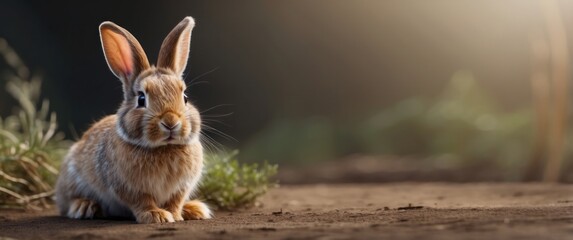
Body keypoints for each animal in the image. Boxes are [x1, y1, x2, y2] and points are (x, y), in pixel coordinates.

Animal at [54, 16, 212, 223]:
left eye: (184, 97)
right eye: (141, 99)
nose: (170, 122)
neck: (163, 148)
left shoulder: (181, 188)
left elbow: (175, 201)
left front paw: (176, 215)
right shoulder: (129, 187)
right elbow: (142, 201)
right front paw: (156, 216)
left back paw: (195, 209)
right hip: (72, 179)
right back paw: (85, 206)